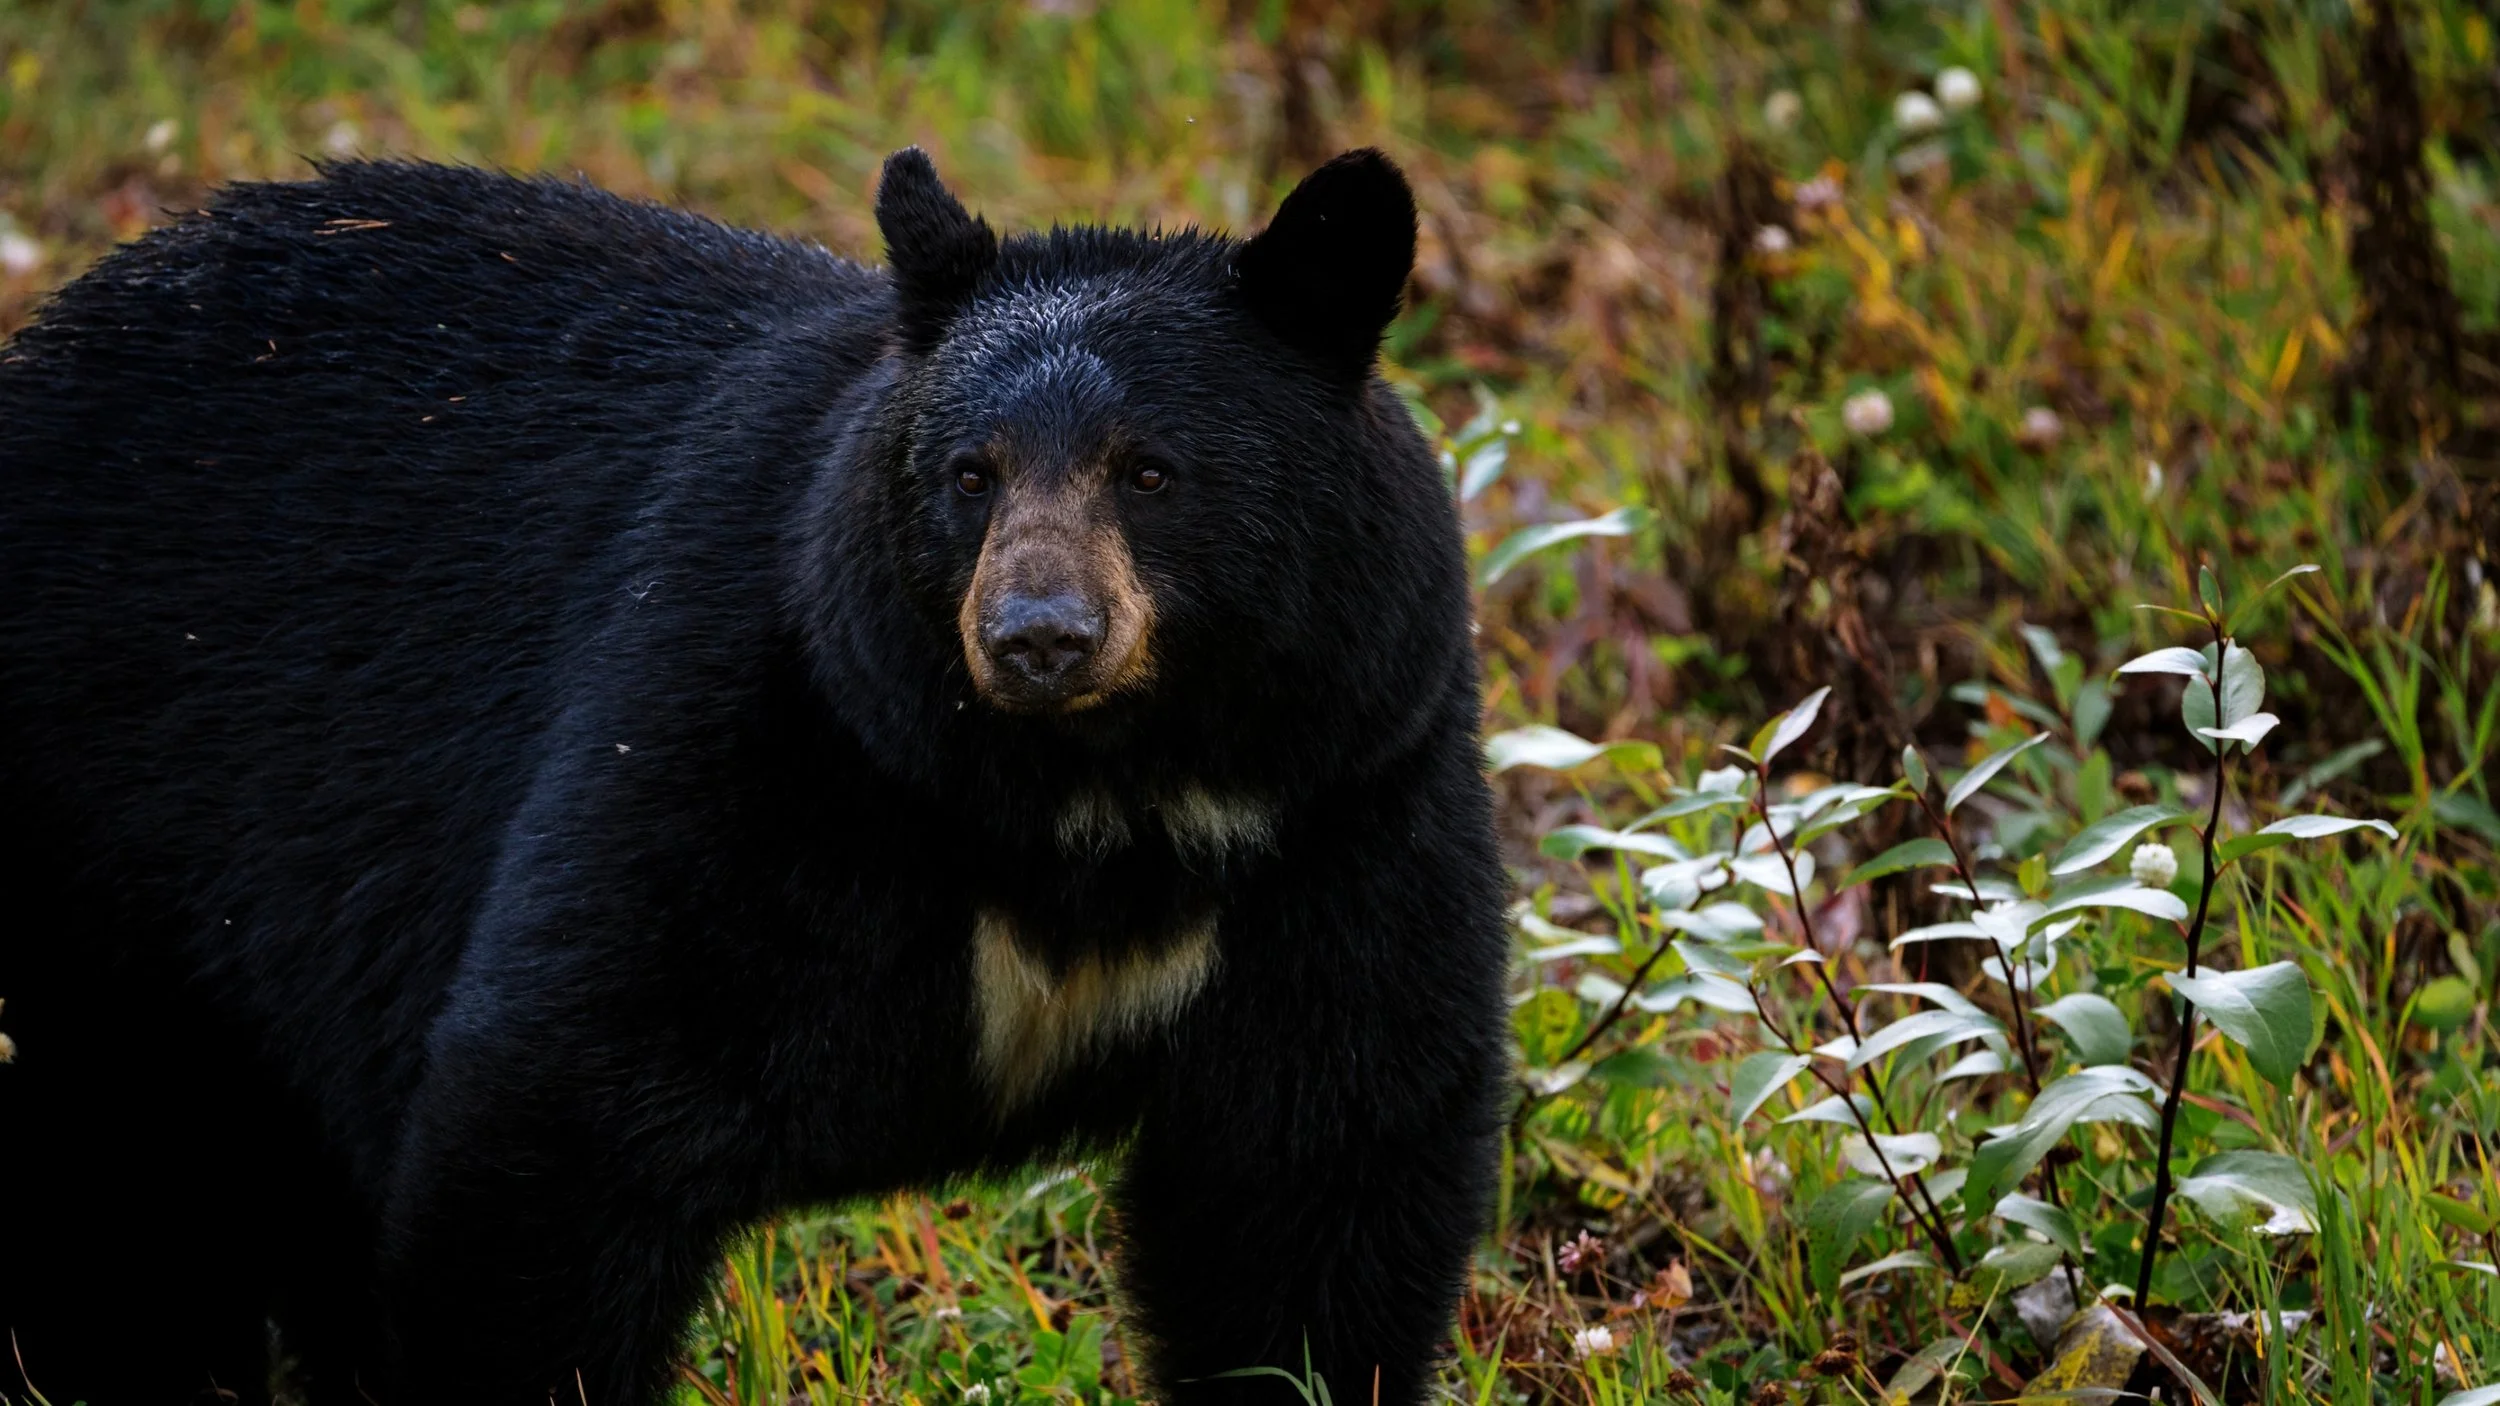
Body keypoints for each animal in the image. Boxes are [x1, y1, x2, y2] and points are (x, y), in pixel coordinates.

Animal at [0, 147, 1509, 1405]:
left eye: (1151, 472)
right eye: (969, 474)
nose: (1038, 635)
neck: (1093, 799)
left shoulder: (1348, 792)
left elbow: (1319, 1168)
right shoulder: (756, 736)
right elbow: (568, 1107)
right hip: (118, 825)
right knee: (126, 1186)